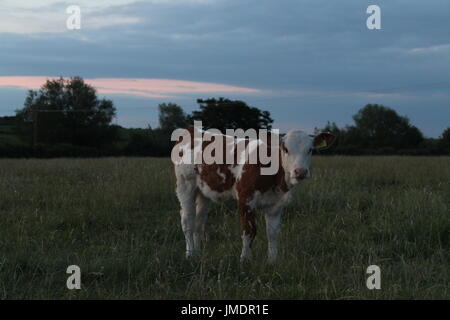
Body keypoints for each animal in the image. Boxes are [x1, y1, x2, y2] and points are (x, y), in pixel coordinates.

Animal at [172, 127, 334, 262]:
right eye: (286, 149)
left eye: (310, 150)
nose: (300, 172)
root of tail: (192, 129)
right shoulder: (246, 199)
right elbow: (249, 231)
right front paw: (245, 260)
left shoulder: (276, 204)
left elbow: (272, 233)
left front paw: (272, 261)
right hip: (185, 185)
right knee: (187, 221)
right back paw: (190, 254)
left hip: (204, 192)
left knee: (199, 223)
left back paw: (198, 253)